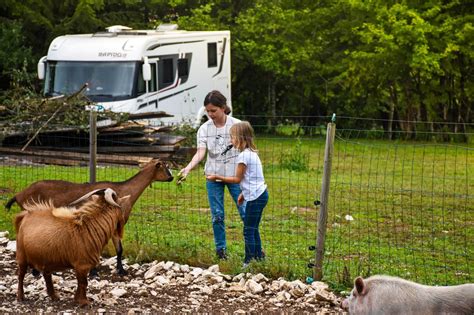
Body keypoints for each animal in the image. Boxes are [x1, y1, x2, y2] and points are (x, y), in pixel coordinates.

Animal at [6, 159, 174, 276]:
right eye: (165, 167)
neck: (123, 191)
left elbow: (119, 250)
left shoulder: (116, 226)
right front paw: (94, 272)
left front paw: (121, 270)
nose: (171, 178)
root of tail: (19, 195)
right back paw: (36, 271)